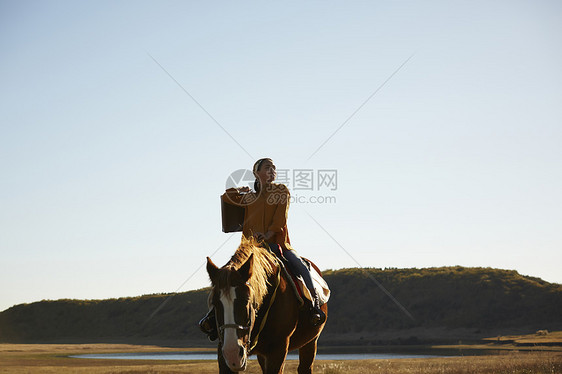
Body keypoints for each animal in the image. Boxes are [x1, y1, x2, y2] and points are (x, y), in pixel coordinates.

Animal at [206, 238, 326, 372]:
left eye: (247, 300)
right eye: (214, 303)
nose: (232, 354)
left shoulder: (277, 351)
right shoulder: (223, 352)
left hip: (310, 342)